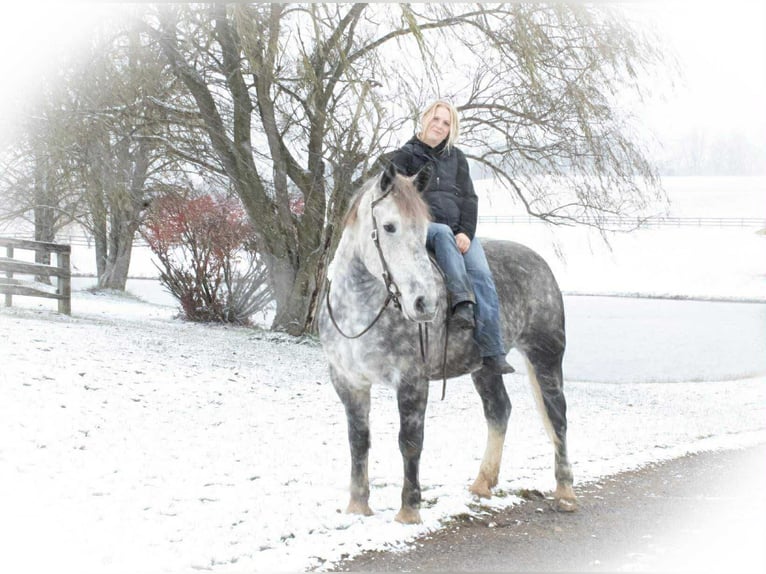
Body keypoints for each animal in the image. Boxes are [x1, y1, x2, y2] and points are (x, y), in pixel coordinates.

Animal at [317, 164, 577, 524]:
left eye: (424, 230)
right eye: (389, 226)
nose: (424, 303)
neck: (360, 309)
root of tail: (540, 263)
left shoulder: (412, 381)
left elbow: (410, 442)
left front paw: (409, 510)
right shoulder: (348, 382)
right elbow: (358, 440)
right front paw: (357, 506)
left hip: (546, 356)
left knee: (557, 418)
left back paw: (565, 492)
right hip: (486, 368)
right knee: (499, 411)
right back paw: (482, 483)